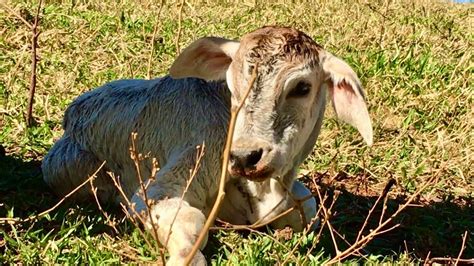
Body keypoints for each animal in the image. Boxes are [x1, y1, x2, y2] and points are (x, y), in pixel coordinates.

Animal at [42, 26, 372, 264]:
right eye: (232, 84)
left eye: (302, 87)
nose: (245, 156)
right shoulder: (159, 188)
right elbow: (189, 222)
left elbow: (308, 205)